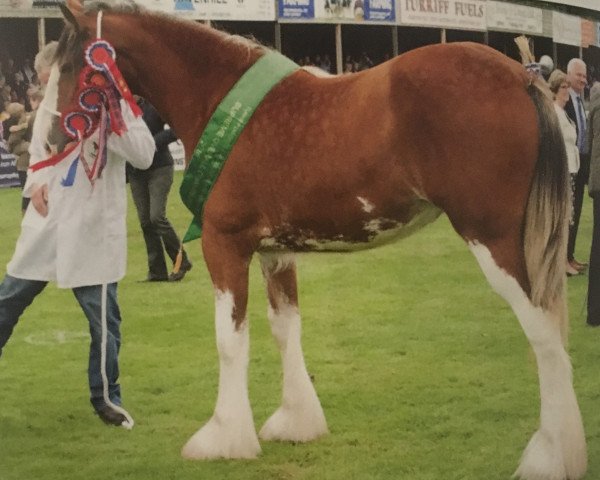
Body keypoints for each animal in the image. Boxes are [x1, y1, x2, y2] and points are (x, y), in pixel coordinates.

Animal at [49, 1, 584, 478]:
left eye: (73, 63)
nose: (54, 138)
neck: (217, 96)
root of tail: (521, 76)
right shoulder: (276, 251)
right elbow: (286, 327)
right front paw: (296, 422)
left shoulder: (224, 244)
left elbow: (230, 339)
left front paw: (223, 437)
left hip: (496, 240)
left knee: (543, 333)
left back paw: (550, 457)